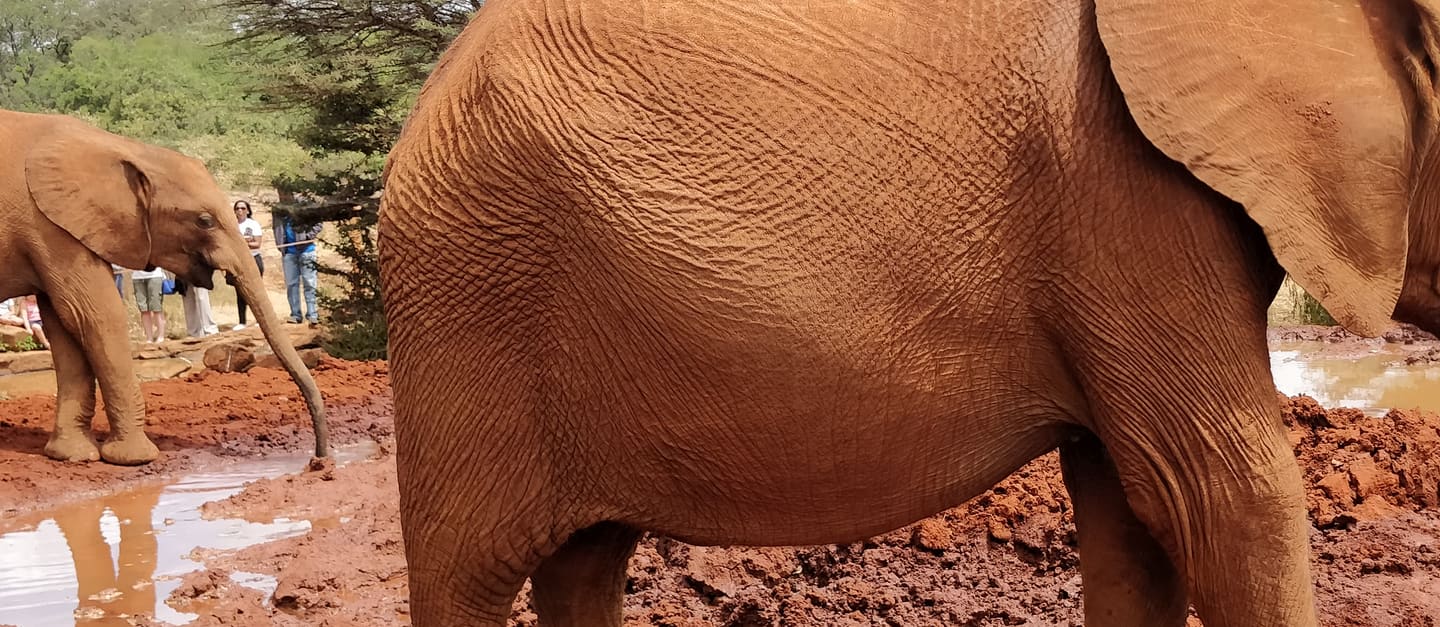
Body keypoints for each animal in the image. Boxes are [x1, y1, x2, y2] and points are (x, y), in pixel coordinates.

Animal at [0, 109, 328, 465]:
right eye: (204, 221)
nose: (318, 459)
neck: (126, 148)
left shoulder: (57, 228)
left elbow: (65, 326)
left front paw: (72, 456)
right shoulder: (47, 228)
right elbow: (96, 316)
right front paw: (135, 458)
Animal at [377, 0, 1440, 625]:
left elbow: (1138, 509)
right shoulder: (1124, 197)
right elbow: (1224, 495)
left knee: (584, 560)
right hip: (468, 300)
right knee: (470, 572)